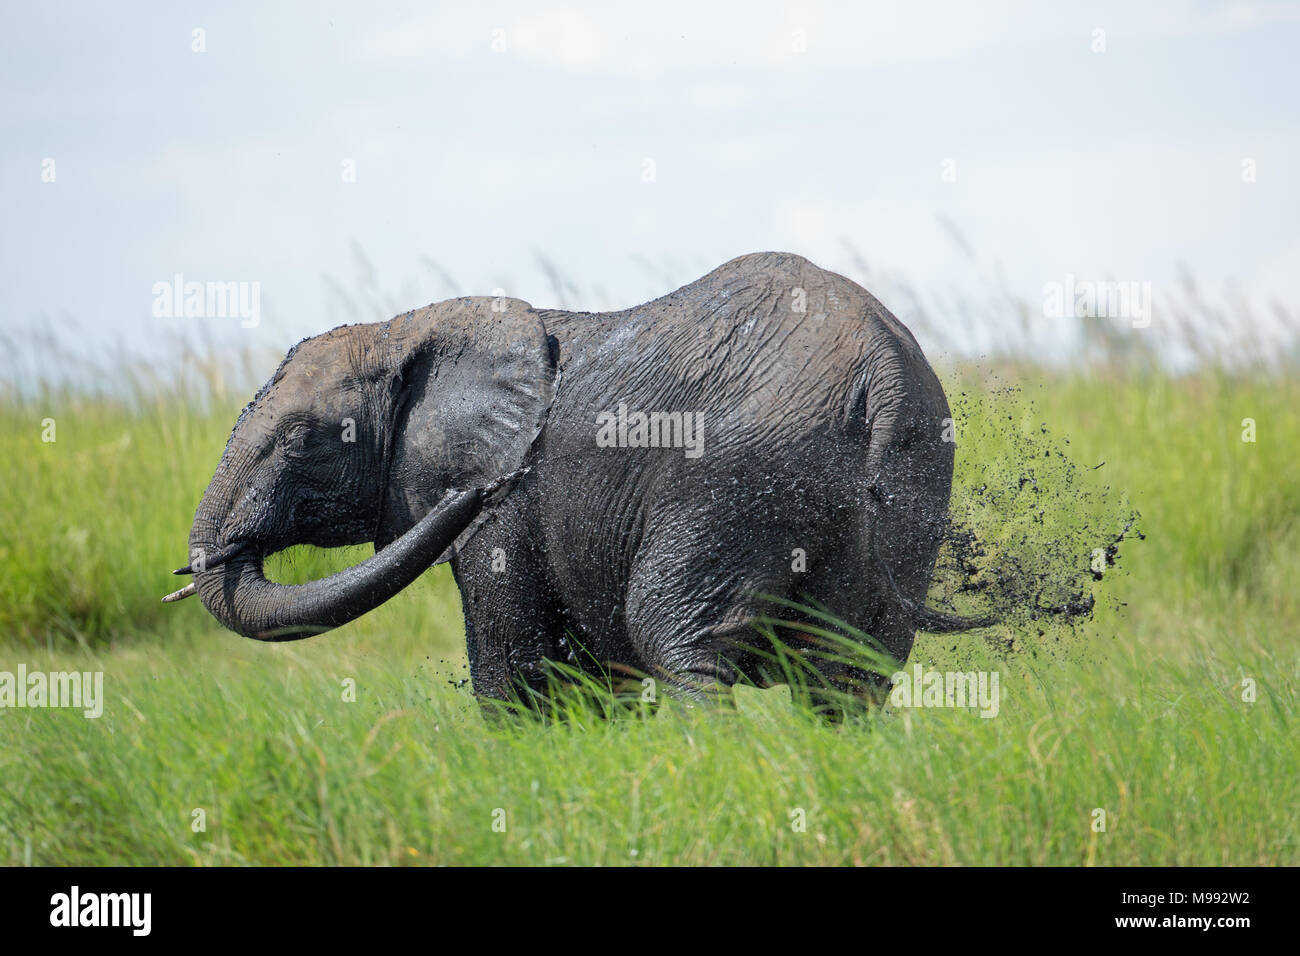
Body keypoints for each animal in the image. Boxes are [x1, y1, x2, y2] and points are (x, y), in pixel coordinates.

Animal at [167, 254, 987, 712]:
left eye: (301, 441)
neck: (405, 329)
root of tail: (881, 366)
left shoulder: (503, 506)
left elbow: (513, 673)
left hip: (737, 477)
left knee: (676, 641)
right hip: (913, 480)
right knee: (849, 675)